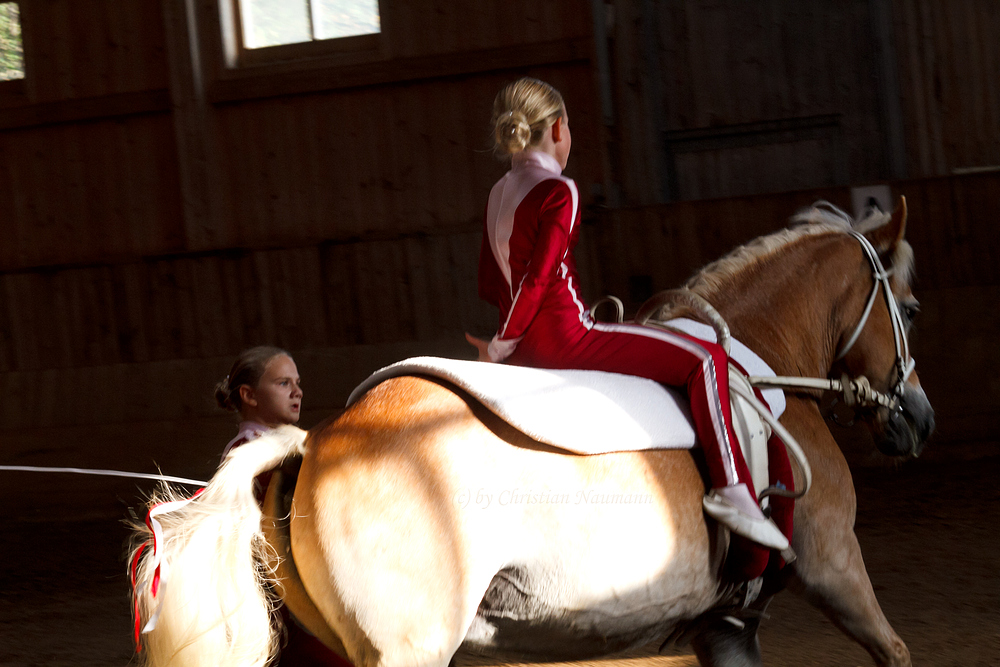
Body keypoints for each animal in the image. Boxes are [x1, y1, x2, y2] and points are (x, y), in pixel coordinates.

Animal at [133, 200, 936, 667]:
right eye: (911, 307)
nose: (919, 418)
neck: (764, 361)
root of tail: (317, 441)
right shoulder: (834, 566)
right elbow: (896, 650)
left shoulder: (726, 626)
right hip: (410, 651)